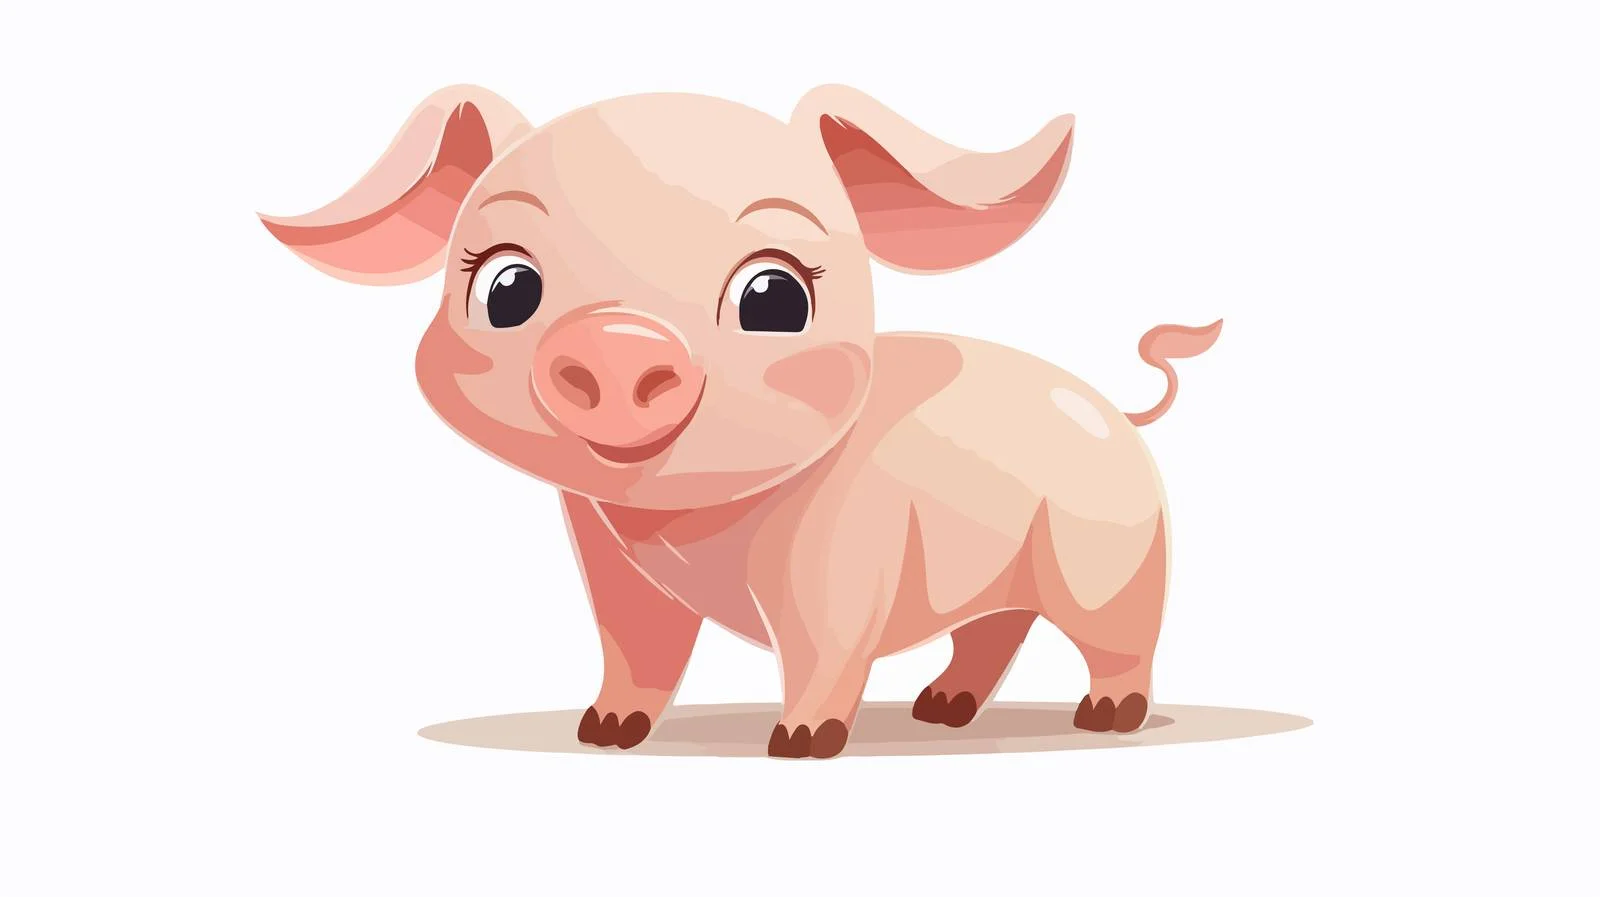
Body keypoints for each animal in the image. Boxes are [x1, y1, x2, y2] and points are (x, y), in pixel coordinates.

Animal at [260, 84, 1221, 759]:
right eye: (508, 288)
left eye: (776, 297)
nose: (618, 338)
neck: (682, 524)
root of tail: (1111, 404)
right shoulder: (613, 567)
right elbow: (637, 648)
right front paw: (601, 732)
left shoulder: (842, 561)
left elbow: (824, 647)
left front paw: (796, 745)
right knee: (993, 628)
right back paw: (939, 711)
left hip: (1110, 561)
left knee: (1118, 638)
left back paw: (1105, 717)